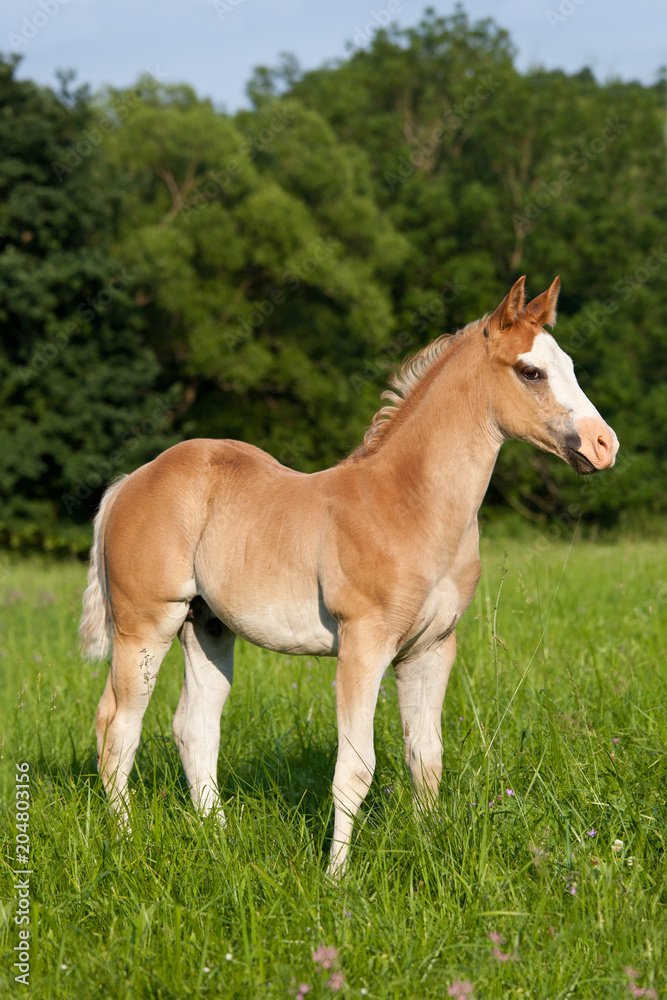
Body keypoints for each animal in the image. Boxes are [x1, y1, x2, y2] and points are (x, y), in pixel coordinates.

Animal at [81, 278, 620, 872]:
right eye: (531, 372)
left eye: (568, 364)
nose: (604, 445)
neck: (409, 504)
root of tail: (131, 481)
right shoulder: (364, 645)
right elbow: (356, 769)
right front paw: (336, 876)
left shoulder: (431, 650)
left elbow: (425, 757)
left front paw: (428, 851)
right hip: (145, 626)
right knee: (117, 726)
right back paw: (125, 842)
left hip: (206, 627)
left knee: (194, 728)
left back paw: (220, 842)